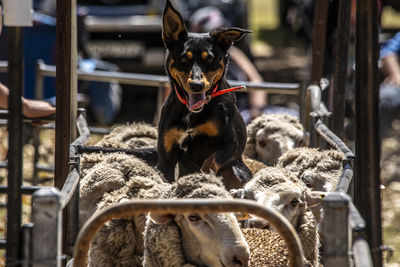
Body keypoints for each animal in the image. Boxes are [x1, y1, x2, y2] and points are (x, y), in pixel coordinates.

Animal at [158, 0, 252, 189]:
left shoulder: (231, 143)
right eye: (184, 59)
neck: (191, 113)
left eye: (209, 59)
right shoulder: (166, 156)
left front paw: (203, 175)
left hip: (239, 170)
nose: (197, 85)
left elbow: (211, 160)